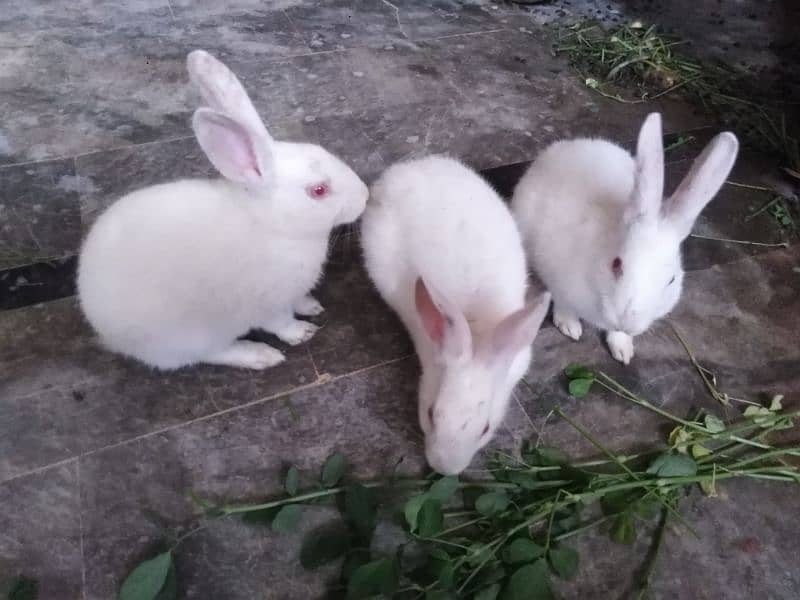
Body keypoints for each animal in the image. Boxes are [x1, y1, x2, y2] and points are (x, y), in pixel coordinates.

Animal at [78, 50, 368, 370]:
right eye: (318, 191)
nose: (365, 196)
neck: (273, 225)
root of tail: (105, 331)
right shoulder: (267, 304)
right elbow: (280, 323)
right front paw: (302, 332)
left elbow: (298, 301)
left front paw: (311, 305)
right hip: (192, 337)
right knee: (211, 354)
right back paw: (259, 355)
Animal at [512, 114, 736, 364]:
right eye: (616, 264)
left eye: (671, 280)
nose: (627, 322)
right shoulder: (556, 274)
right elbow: (562, 302)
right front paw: (570, 326)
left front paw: (623, 350)